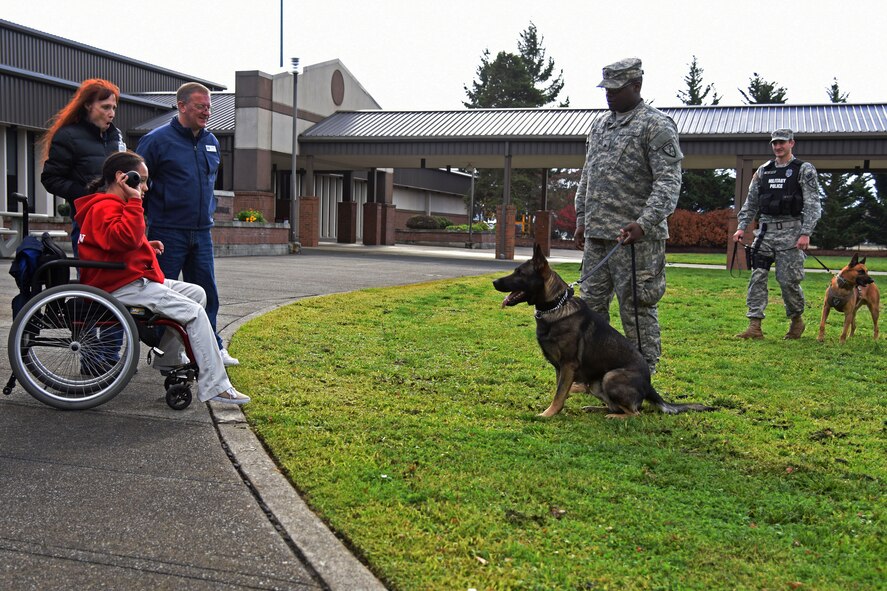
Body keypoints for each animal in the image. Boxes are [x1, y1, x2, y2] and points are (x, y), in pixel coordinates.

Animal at [492, 245, 716, 420]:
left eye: (519, 273)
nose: (494, 282)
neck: (556, 306)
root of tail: (649, 386)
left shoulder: (567, 365)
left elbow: (559, 394)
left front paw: (548, 414)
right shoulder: (560, 368)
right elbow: (560, 391)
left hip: (610, 376)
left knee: (636, 413)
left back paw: (614, 416)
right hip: (596, 384)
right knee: (618, 406)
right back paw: (595, 408)